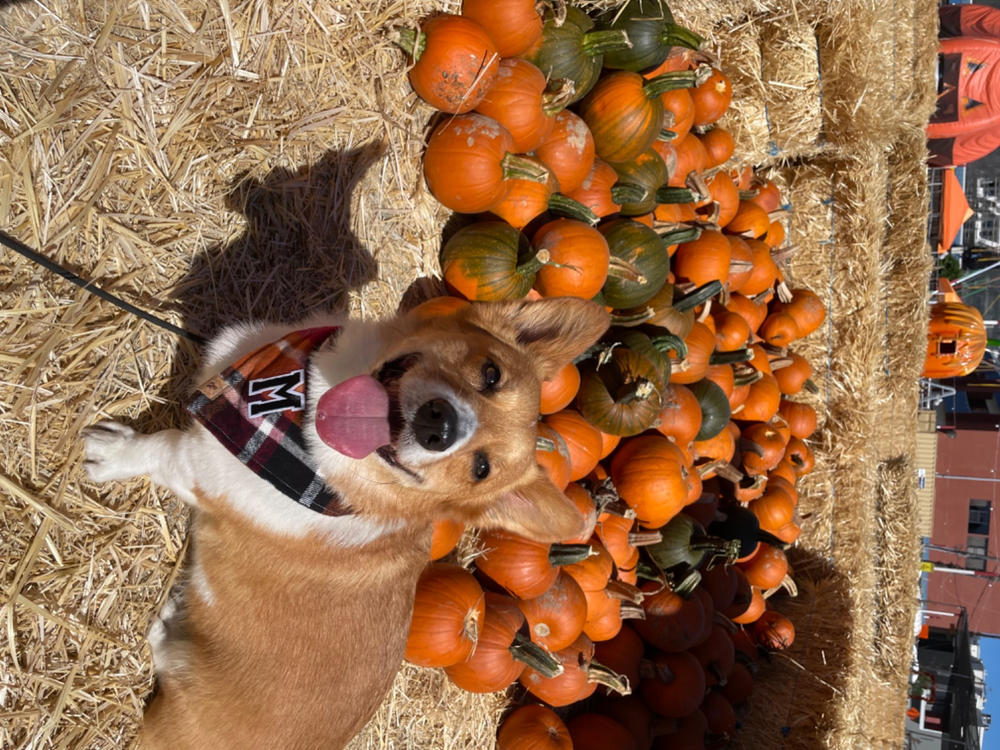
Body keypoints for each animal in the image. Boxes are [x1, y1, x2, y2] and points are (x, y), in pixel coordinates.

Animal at [82, 298, 608, 750]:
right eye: (491, 373)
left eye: (481, 469)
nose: (438, 426)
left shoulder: (195, 467)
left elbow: (156, 448)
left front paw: (110, 452)